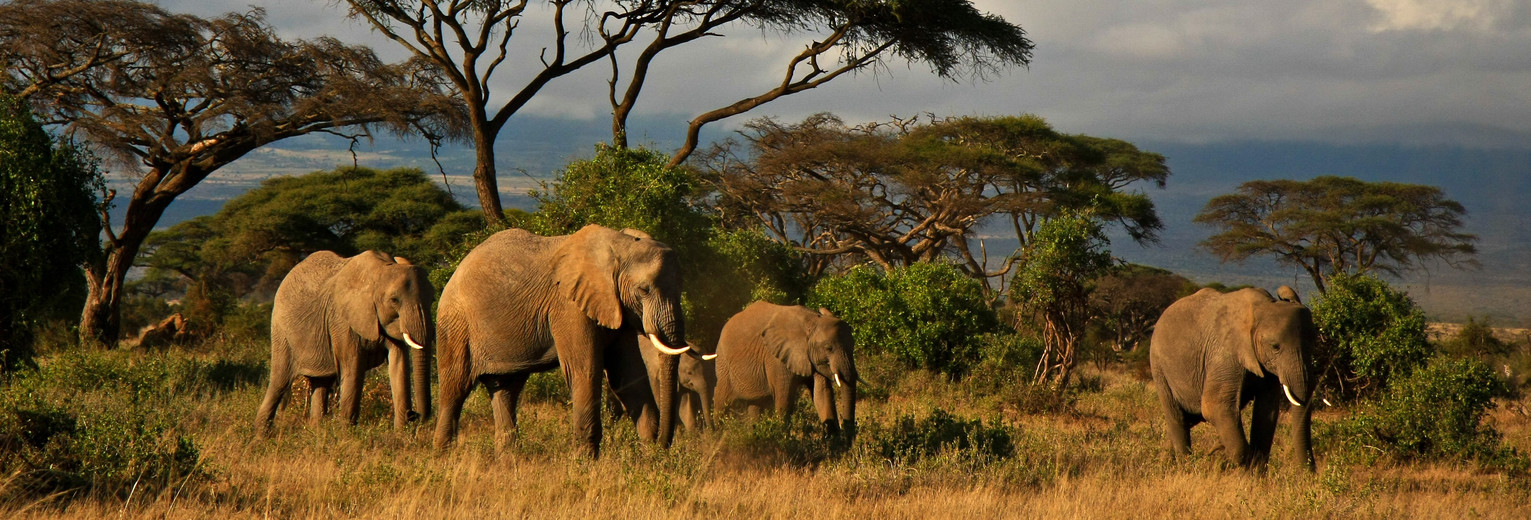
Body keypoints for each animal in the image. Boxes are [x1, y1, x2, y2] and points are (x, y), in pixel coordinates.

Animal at [257, 249, 434, 431]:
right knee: (279, 382)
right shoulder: (341, 321)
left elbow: (399, 364)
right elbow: (353, 367)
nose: (414, 414)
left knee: (321, 383)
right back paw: (261, 435)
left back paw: (316, 431)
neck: (381, 269)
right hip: (281, 332)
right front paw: (347, 433)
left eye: (433, 299)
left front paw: (400, 433)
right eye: (394, 300)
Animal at [431, 223, 695, 455]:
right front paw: (585, 463)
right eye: (644, 290)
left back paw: (508, 462)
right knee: (455, 387)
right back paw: (443, 457)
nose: (663, 446)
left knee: (506, 390)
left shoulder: (618, 307)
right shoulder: (569, 306)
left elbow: (627, 376)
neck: (619, 246)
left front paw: (650, 458)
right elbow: (585, 371)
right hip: (455, 325)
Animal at [710, 302, 857, 437]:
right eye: (828, 348)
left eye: (853, 345)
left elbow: (821, 395)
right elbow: (784, 401)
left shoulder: (814, 359)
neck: (812, 321)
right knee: (721, 402)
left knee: (755, 406)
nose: (847, 437)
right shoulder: (776, 359)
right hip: (723, 364)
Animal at [1151, 284, 1316, 471]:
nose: (1308, 472)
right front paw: (1223, 456)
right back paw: (1185, 468)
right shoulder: (1224, 354)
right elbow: (1213, 406)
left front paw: (1253, 476)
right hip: (1159, 368)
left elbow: (1266, 412)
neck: (1264, 307)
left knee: (1188, 420)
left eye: (1314, 342)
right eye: (1275, 347)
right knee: (1177, 419)